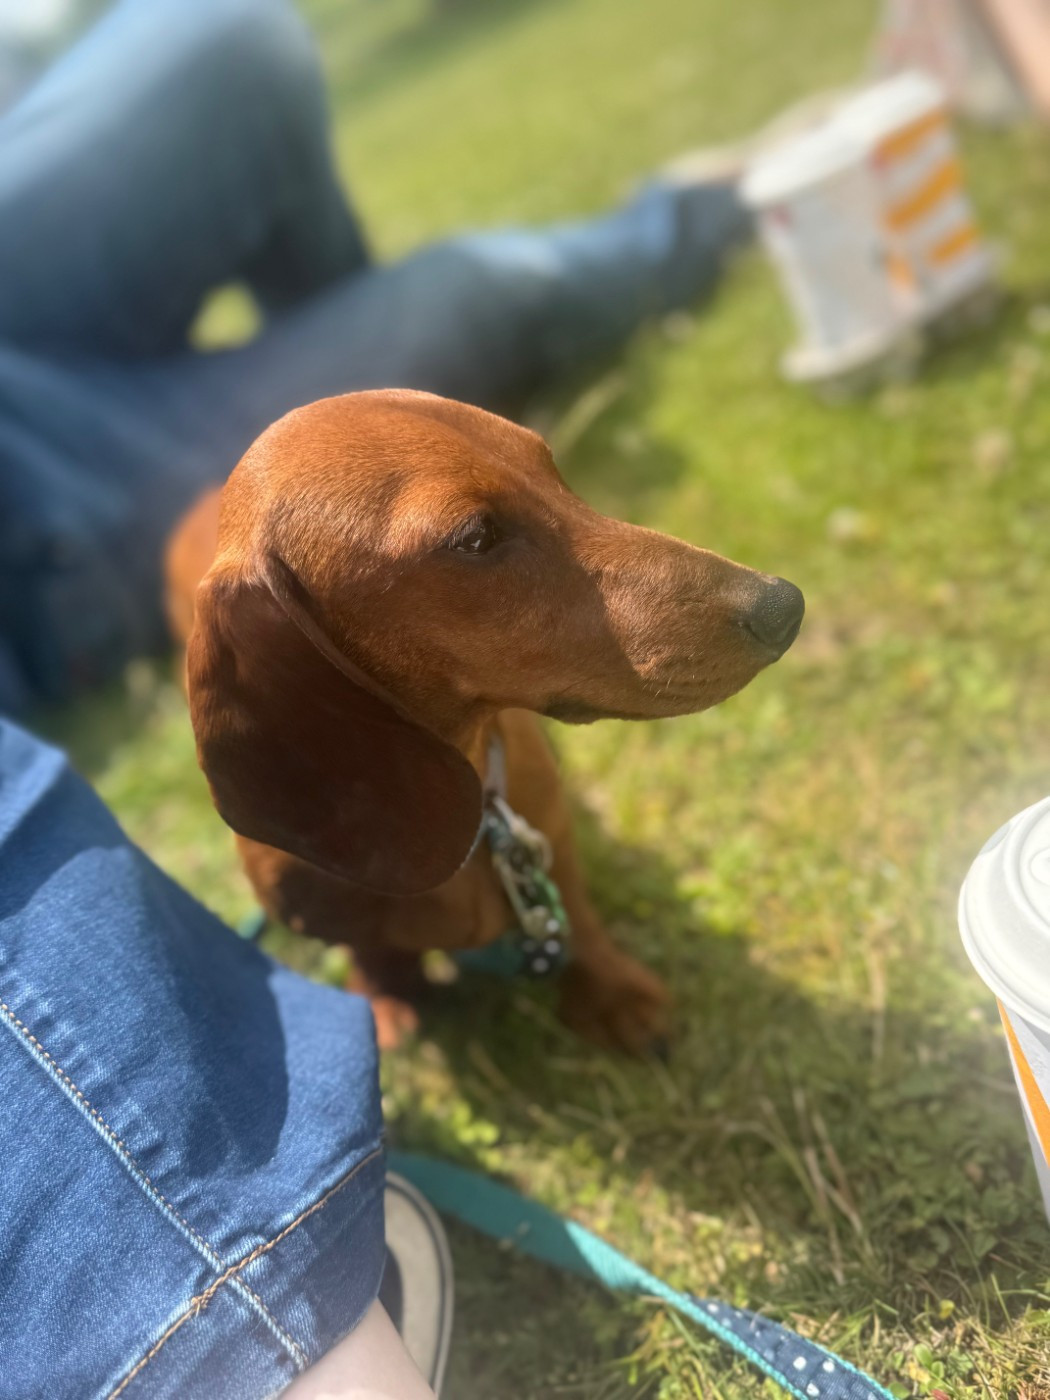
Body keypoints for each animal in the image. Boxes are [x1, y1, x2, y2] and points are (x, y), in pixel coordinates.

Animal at [166, 389, 803, 1053]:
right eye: (475, 538)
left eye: (550, 468)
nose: (784, 606)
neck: (478, 821)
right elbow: (368, 947)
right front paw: (384, 998)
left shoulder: (552, 835)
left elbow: (576, 912)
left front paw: (613, 995)